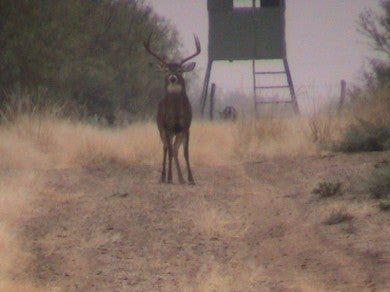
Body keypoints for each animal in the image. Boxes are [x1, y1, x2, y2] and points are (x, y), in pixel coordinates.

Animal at [142, 34, 200, 185]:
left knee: (174, 149)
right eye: (167, 70)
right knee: (166, 149)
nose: (173, 78)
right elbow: (169, 152)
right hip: (161, 130)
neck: (176, 115)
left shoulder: (186, 127)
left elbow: (185, 153)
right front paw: (168, 178)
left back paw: (180, 178)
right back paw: (164, 177)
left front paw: (191, 179)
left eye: (180, 70)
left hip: (177, 133)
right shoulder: (167, 127)